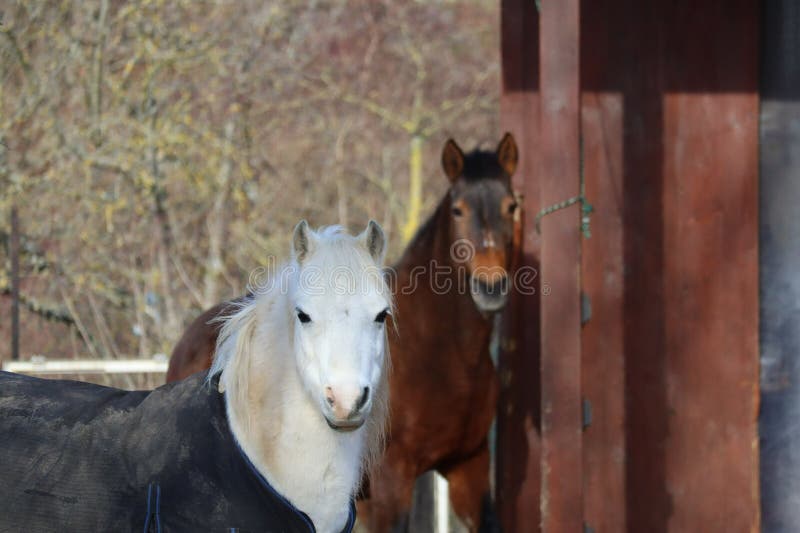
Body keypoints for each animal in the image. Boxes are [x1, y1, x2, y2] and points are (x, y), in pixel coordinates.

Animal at [166, 134, 521, 531]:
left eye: (511, 206)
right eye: (458, 210)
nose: (490, 286)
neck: (441, 356)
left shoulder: (469, 468)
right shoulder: (390, 485)